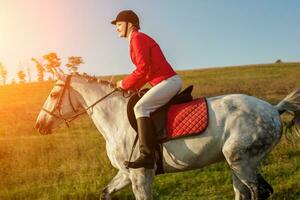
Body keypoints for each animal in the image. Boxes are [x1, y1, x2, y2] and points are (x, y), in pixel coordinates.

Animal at [35, 72, 300, 200]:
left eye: (55, 93)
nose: (39, 125)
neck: (115, 118)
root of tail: (273, 109)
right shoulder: (126, 173)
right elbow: (105, 192)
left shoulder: (141, 175)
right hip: (240, 164)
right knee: (243, 192)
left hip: (241, 161)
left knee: (258, 192)